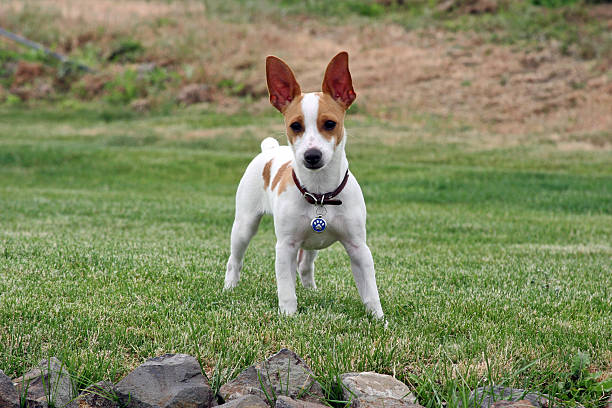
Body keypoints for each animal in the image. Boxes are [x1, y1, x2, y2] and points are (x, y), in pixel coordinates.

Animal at [222, 51, 384, 318]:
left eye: (330, 124)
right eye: (295, 125)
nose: (312, 156)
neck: (320, 193)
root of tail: (269, 149)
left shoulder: (359, 248)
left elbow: (370, 291)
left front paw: (379, 319)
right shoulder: (285, 246)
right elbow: (286, 288)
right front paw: (288, 315)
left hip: (311, 243)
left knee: (305, 265)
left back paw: (311, 290)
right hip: (244, 225)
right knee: (235, 260)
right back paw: (229, 287)